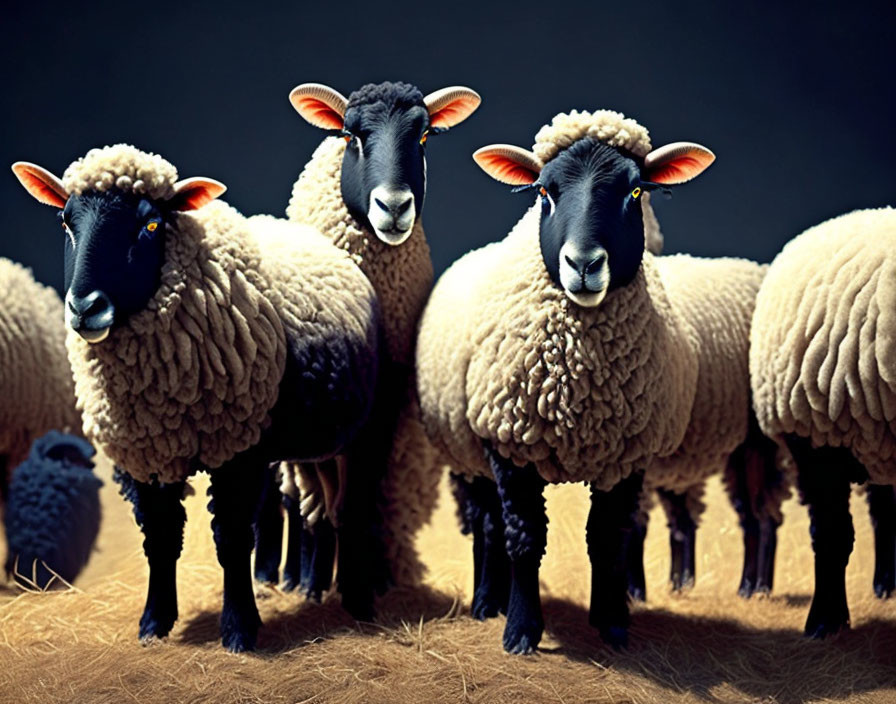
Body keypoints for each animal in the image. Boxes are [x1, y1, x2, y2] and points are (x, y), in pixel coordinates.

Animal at [250, 78, 484, 604]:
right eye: (350, 135)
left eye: (424, 137)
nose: (394, 207)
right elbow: (317, 504)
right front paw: (320, 585)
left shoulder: (387, 404)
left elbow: (363, 498)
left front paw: (365, 582)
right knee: (283, 498)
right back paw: (282, 574)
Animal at [416, 110, 772, 656]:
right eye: (544, 190)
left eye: (635, 190)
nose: (584, 264)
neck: (579, 386)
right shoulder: (507, 444)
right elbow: (524, 537)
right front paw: (521, 631)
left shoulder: (627, 453)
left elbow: (609, 537)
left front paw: (612, 623)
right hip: (468, 451)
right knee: (489, 525)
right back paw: (487, 601)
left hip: (758, 443)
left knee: (757, 516)